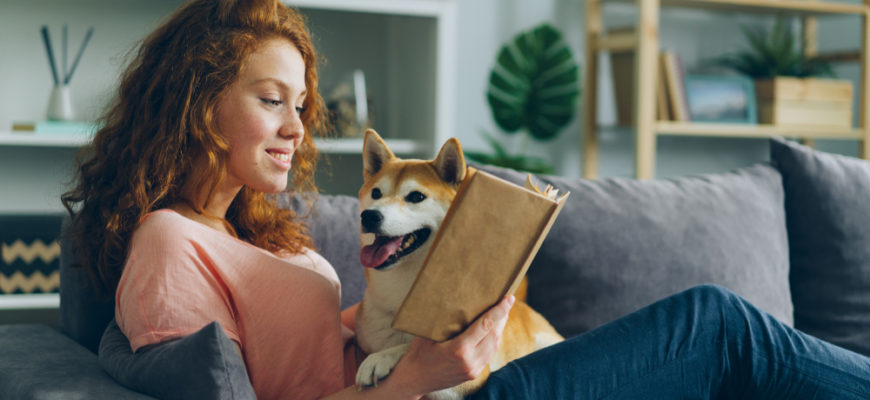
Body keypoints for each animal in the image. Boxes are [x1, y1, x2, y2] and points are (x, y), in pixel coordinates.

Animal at [356, 130, 564, 398]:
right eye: (376, 194)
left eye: (416, 197)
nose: (369, 216)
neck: (400, 302)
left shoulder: (463, 381)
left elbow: (410, 349)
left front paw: (380, 358)